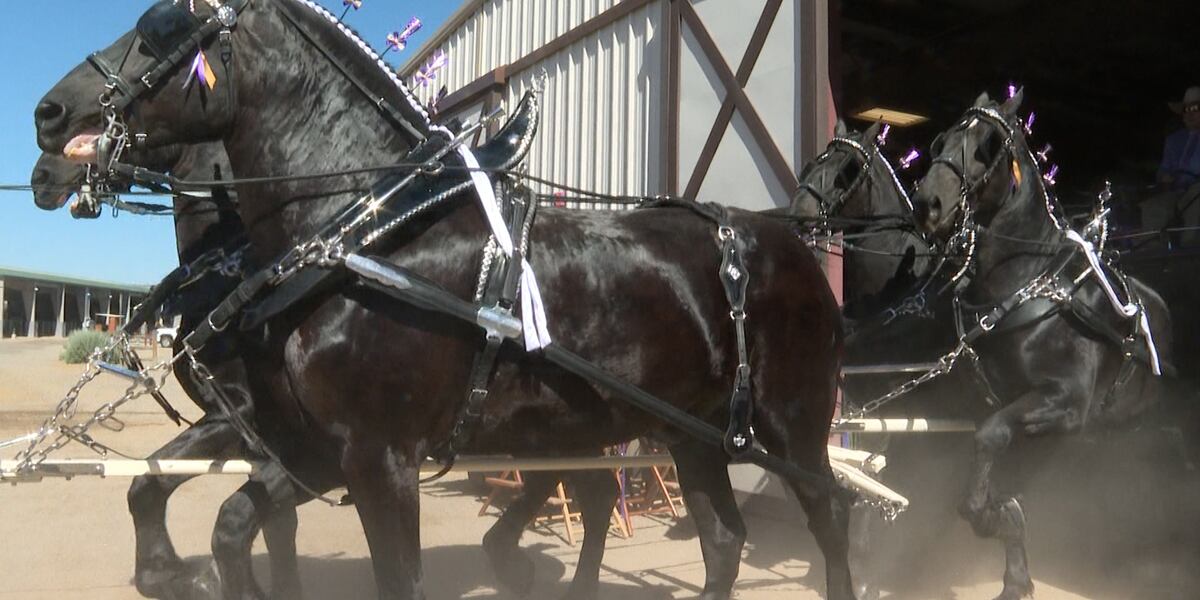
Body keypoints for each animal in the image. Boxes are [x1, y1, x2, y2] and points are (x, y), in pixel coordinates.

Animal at [34, 2, 850, 599]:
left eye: (159, 27)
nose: (47, 117)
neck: (366, 232)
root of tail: (786, 239)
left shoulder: (379, 456)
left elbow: (384, 573)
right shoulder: (312, 447)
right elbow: (216, 514)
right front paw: (175, 573)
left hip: (790, 424)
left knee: (828, 516)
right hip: (691, 432)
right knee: (720, 540)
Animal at [910, 90, 1173, 600]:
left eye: (987, 146)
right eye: (941, 139)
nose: (928, 203)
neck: (1027, 286)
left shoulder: (1066, 402)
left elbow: (990, 438)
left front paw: (991, 517)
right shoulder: (999, 406)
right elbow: (994, 460)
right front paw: (1012, 558)